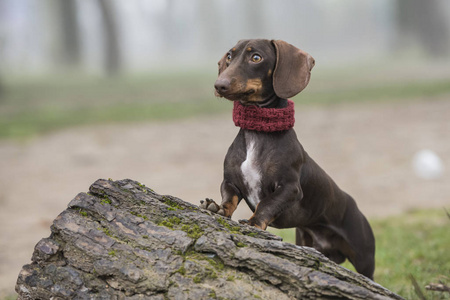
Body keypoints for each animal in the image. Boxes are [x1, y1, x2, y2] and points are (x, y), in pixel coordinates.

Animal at [201, 39, 376, 278]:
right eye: (229, 56)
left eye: (256, 57)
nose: (219, 85)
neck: (258, 132)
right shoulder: (230, 181)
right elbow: (229, 197)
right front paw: (217, 208)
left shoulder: (290, 188)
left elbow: (266, 203)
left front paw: (254, 223)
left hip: (364, 257)